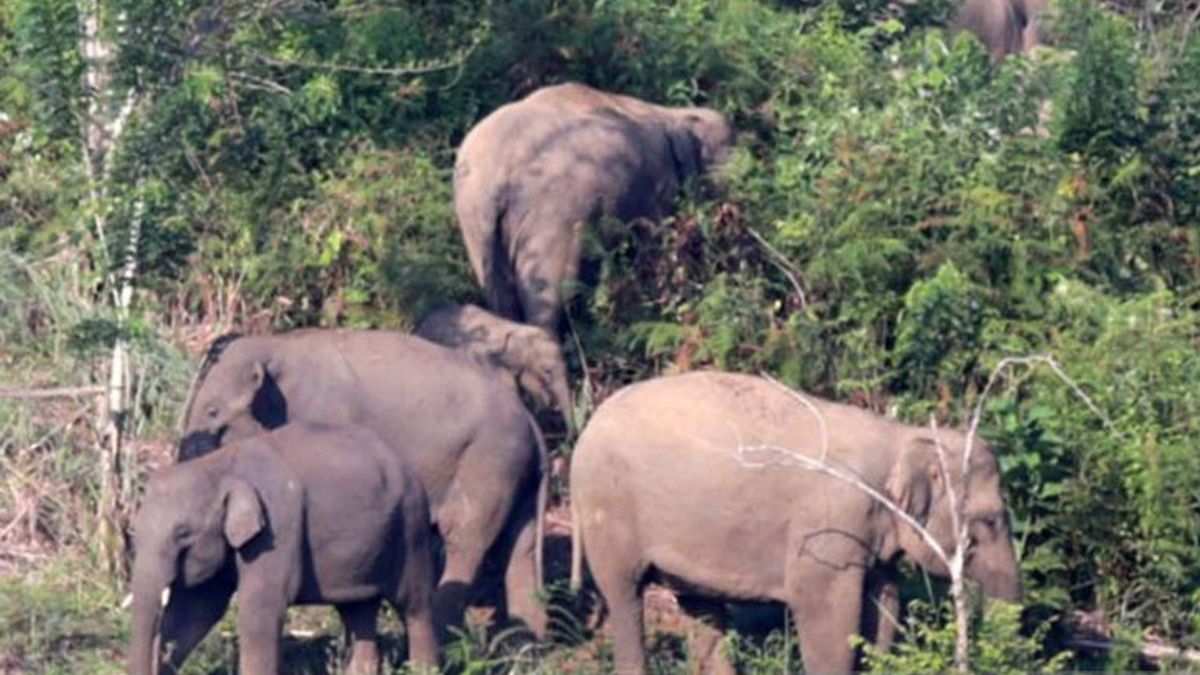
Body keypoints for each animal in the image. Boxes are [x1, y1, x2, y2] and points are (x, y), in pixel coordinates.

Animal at [129, 420, 439, 672]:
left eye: (183, 534)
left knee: (415, 606)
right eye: (135, 532)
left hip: (411, 527)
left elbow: (260, 608)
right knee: (358, 610)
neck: (221, 465)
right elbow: (199, 609)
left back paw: (423, 668)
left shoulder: (276, 527)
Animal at [178, 329, 552, 638]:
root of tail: (534, 424)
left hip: (488, 463)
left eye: (213, 412)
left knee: (465, 540)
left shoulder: (326, 415)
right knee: (520, 549)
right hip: (516, 474)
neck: (275, 345)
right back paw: (525, 648)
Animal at [451, 81, 729, 331]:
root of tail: (496, 177)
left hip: (474, 221)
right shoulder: (658, 187)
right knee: (550, 292)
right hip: (552, 217)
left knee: (498, 294)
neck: (673, 113)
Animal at [566, 369, 1017, 667]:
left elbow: (884, 604)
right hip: (607, 510)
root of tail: (583, 434)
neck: (901, 436)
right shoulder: (828, 526)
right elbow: (826, 612)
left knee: (700, 606)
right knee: (624, 596)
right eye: (992, 520)